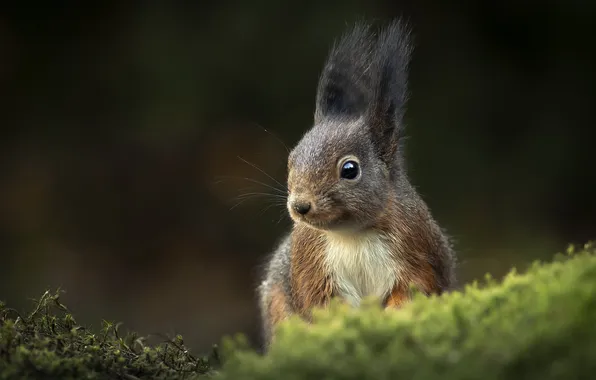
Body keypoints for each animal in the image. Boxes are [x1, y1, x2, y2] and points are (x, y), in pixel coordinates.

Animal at [256, 20, 456, 348]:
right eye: (291, 160)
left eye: (350, 169)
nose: (300, 206)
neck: (353, 234)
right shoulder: (311, 265)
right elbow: (322, 304)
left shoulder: (417, 251)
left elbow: (411, 290)